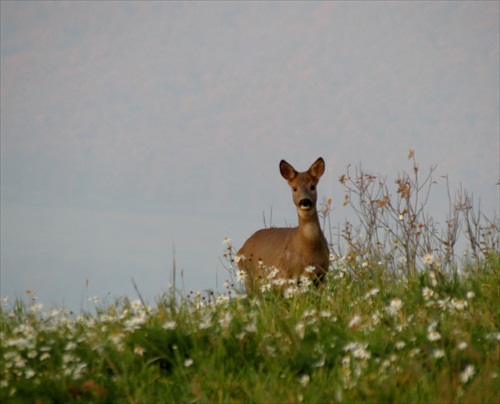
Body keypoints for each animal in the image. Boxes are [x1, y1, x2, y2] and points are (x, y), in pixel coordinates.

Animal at [236, 156, 330, 292]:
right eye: (294, 188)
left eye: (313, 186)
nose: (305, 201)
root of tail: (240, 250)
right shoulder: (288, 274)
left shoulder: (322, 274)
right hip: (250, 277)